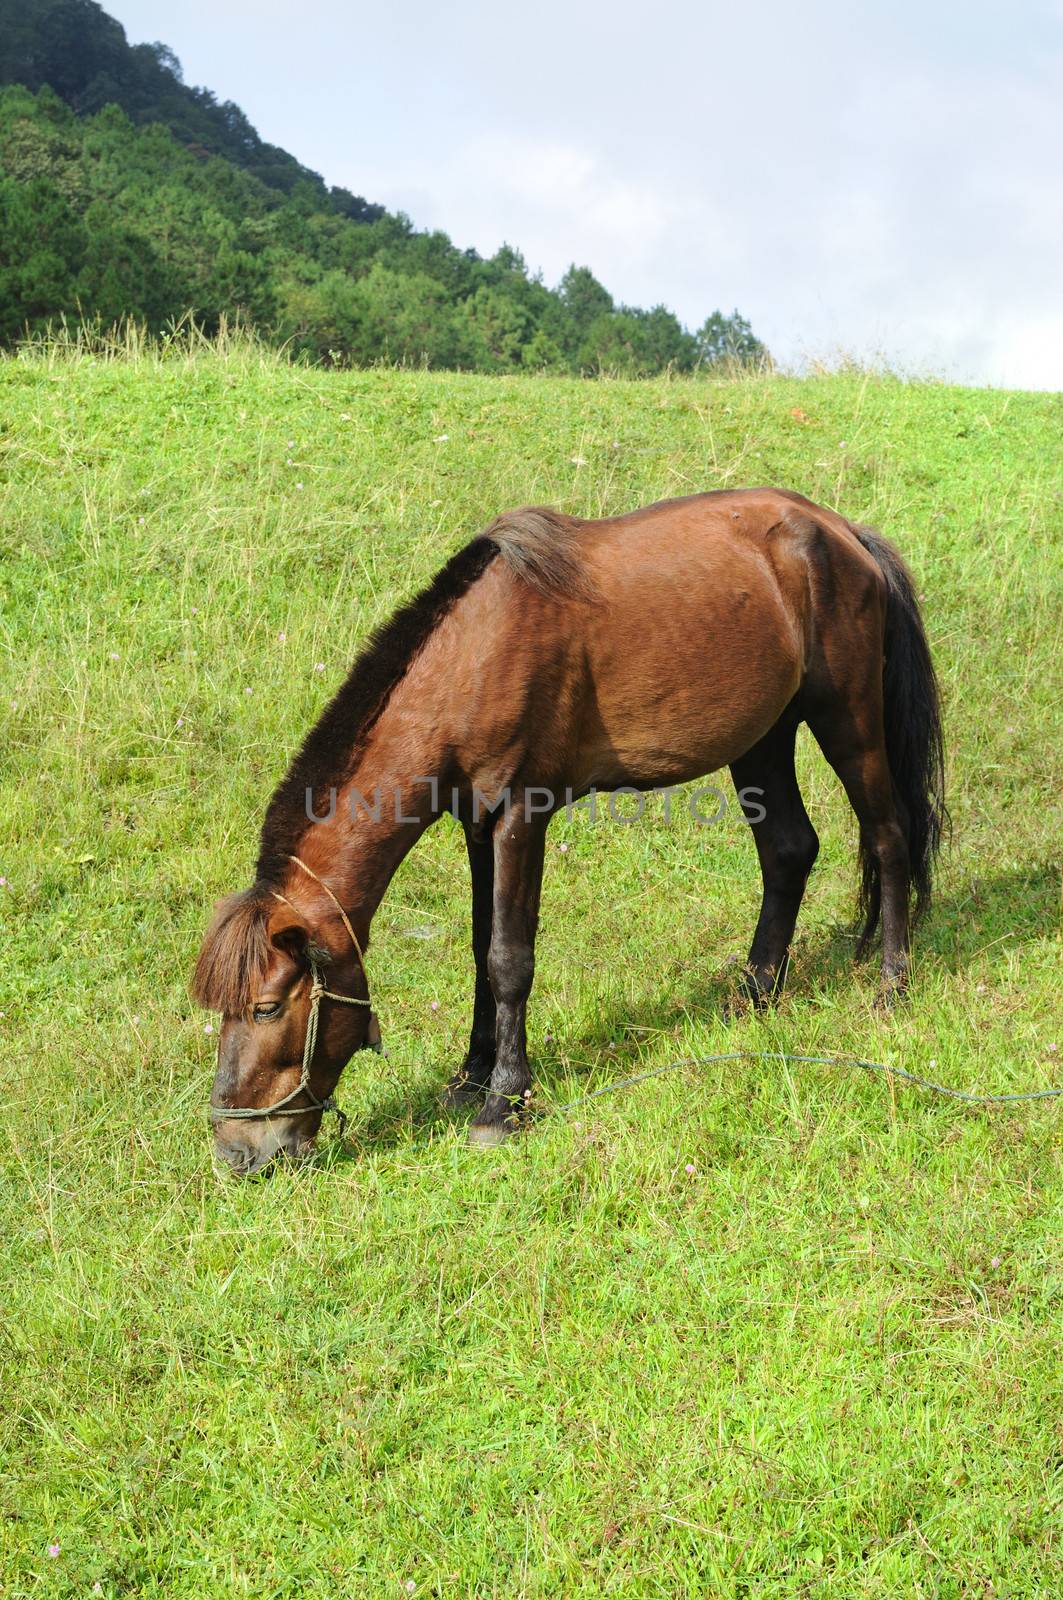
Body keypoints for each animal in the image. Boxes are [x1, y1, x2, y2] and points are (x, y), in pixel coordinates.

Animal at [195, 480, 941, 1171]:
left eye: (266, 1008)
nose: (236, 1150)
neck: (474, 653)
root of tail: (842, 533)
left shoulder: (522, 814)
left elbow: (508, 959)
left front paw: (504, 1103)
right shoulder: (476, 823)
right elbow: (479, 948)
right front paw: (471, 1078)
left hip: (846, 720)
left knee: (888, 837)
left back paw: (890, 984)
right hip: (762, 738)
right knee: (789, 851)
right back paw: (754, 994)